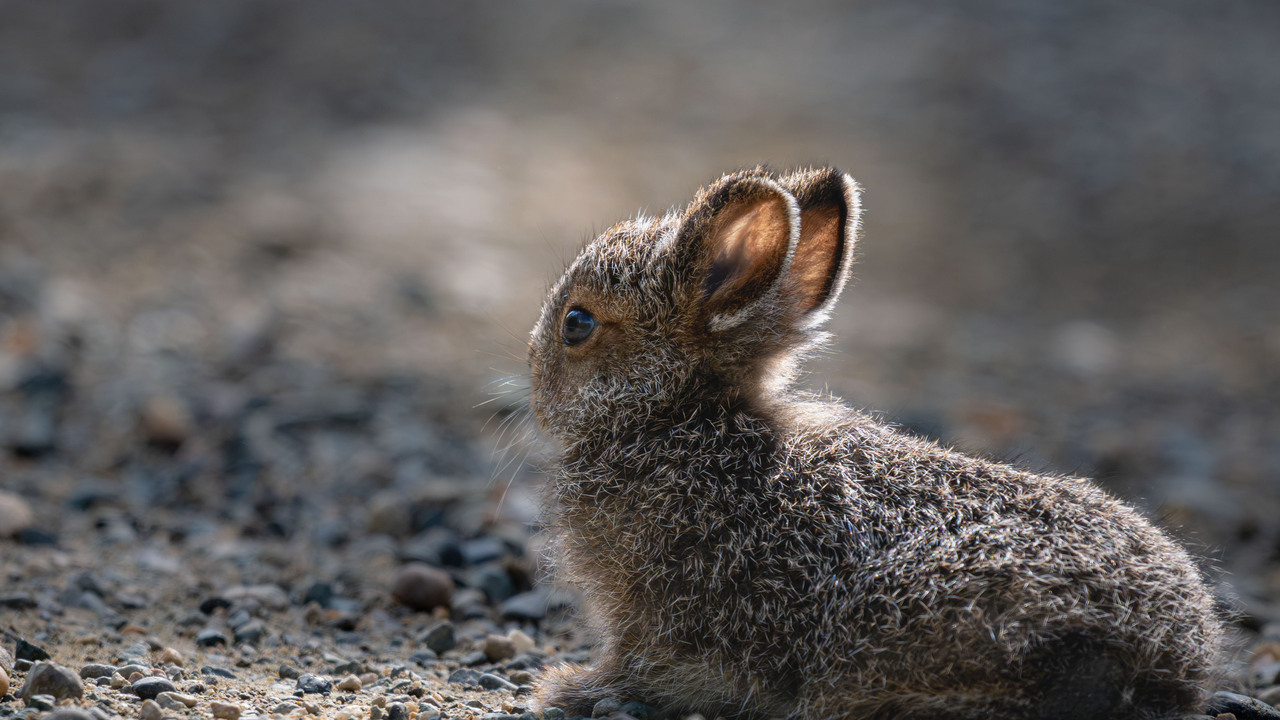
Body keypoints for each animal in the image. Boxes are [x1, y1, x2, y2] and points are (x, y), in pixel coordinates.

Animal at [526, 166, 1224, 720]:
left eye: (577, 324)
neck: (681, 416)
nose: (530, 384)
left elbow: (645, 668)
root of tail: (1155, 662)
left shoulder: (667, 618)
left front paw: (566, 689)